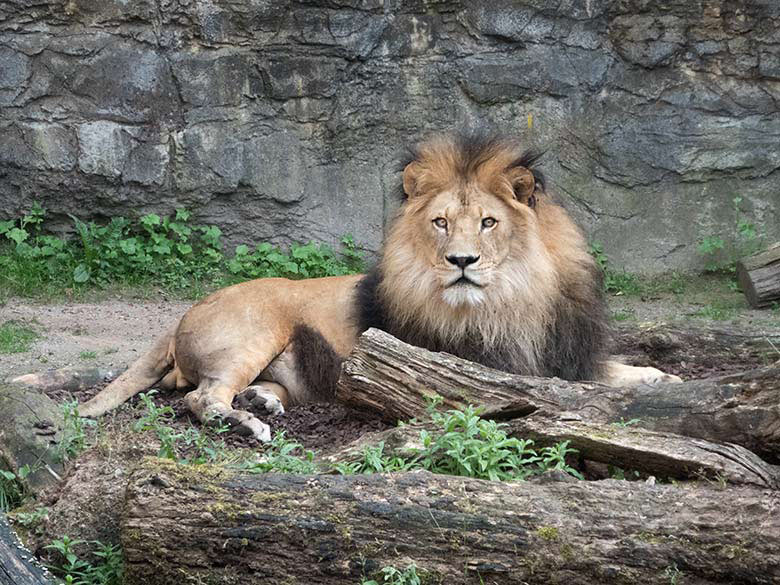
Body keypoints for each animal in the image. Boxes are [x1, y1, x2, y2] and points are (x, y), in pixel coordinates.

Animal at [76, 131, 680, 438]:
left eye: (488, 222)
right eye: (441, 223)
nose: (461, 261)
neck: (514, 298)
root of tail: (183, 316)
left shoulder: (565, 351)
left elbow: (617, 371)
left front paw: (663, 378)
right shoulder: (488, 369)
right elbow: (578, 389)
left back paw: (261, 403)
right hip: (250, 334)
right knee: (198, 398)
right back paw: (245, 424)